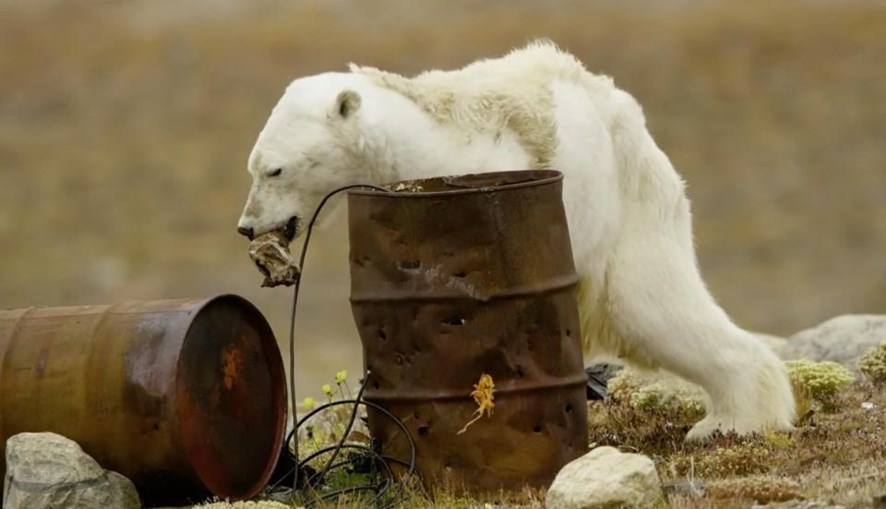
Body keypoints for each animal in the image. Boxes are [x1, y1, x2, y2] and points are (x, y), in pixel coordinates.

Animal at [236, 40, 796, 440]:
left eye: (275, 169)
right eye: (253, 166)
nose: (246, 225)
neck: (417, 142)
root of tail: (629, 119)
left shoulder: (486, 170)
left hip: (626, 212)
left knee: (653, 308)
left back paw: (732, 420)